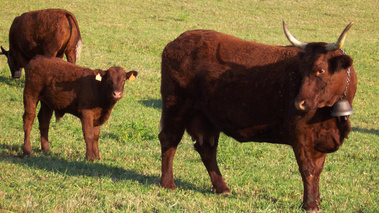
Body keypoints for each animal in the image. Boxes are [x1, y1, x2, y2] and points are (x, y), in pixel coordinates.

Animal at [159, 21, 358, 211]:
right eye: (301, 70)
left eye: (320, 70)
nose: (299, 103)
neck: (330, 117)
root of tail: (178, 40)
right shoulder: (301, 136)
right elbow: (308, 169)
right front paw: (309, 205)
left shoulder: (320, 139)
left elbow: (317, 170)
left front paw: (316, 200)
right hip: (175, 106)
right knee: (169, 139)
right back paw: (168, 184)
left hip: (205, 117)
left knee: (207, 149)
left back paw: (222, 188)